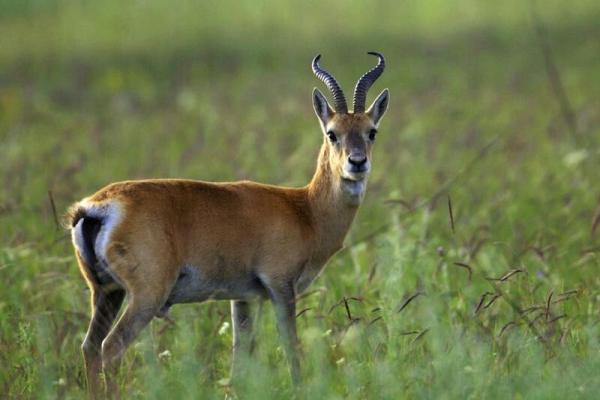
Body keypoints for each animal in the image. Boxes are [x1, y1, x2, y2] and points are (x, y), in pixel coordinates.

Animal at [68, 51, 392, 396]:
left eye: (372, 131)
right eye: (332, 133)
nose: (357, 162)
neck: (305, 210)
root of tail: (95, 207)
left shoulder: (244, 297)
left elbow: (240, 358)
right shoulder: (281, 287)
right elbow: (291, 349)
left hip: (106, 292)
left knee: (89, 347)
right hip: (145, 297)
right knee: (111, 348)